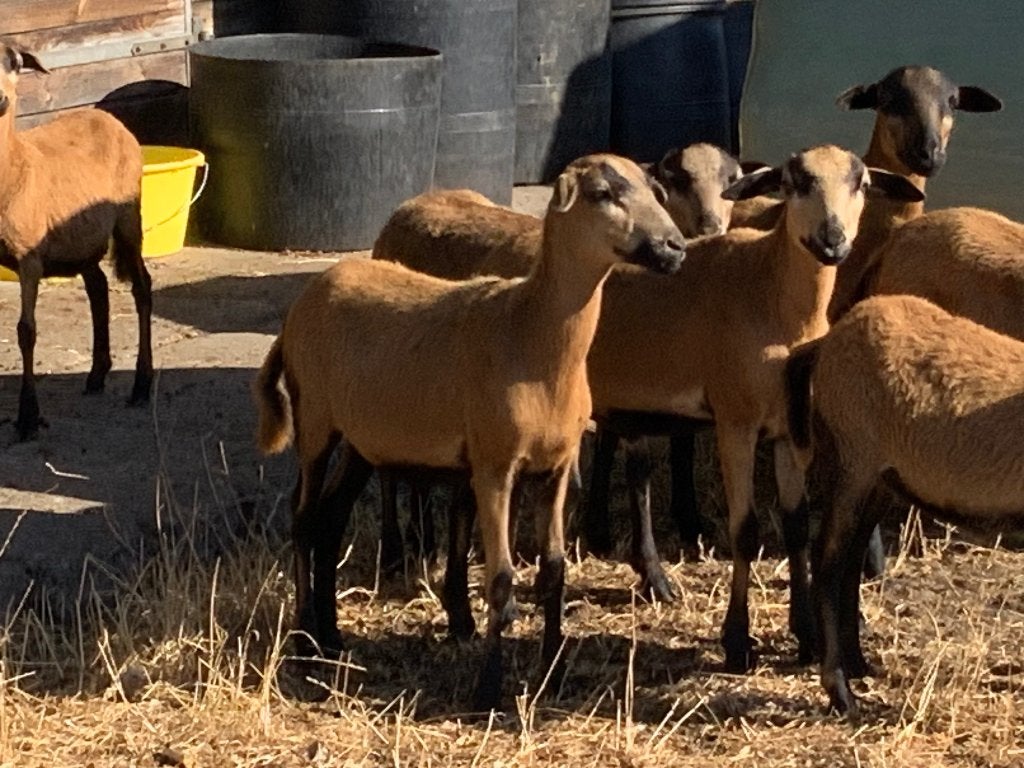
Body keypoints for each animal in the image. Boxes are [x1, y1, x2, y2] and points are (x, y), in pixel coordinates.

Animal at [0, 42, 152, 440]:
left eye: (14, 64)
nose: (0, 99)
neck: (15, 167)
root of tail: (105, 117)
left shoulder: (29, 259)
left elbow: (26, 332)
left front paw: (28, 417)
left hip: (128, 216)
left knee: (142, 287)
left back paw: (142, 386)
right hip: (81, 240)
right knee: (98, 288)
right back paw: (97, 374)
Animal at [253, 153, 685, 710]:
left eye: (654, 189)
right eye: (602, 193)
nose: (674, 247)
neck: (530, 331)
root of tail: (299, 307)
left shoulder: (557, 465)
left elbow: (553, 572)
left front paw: (552, 674)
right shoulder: (493, 467)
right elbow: (500, 580)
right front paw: (488, 689)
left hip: (363, 438)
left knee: (329, 520)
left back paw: (331, 639)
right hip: (315, 420)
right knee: (304, 520)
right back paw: (306, 645)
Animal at [371, 143, 750, 593]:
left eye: (732, 181)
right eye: (677, 180)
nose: (685, 241)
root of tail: (416, 200)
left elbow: (658, 452)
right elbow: (636, 475)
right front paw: (650, 572)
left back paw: (424, 540)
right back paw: (397, 553)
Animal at [584, 145, 925, 672]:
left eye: (863, 185)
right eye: (794, 183)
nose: (833, 241)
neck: (771, 293)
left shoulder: (787, 429)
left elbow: (797, 526)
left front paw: (806, 636)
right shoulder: (735, 423)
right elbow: (745, 531)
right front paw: (737, 641)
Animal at [784, 294, 1024, 714]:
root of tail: (828, 342)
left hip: (882, 478)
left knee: (851, 560)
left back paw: (859, 664)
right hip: (854, 458)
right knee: (829, 562)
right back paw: (841, 692)